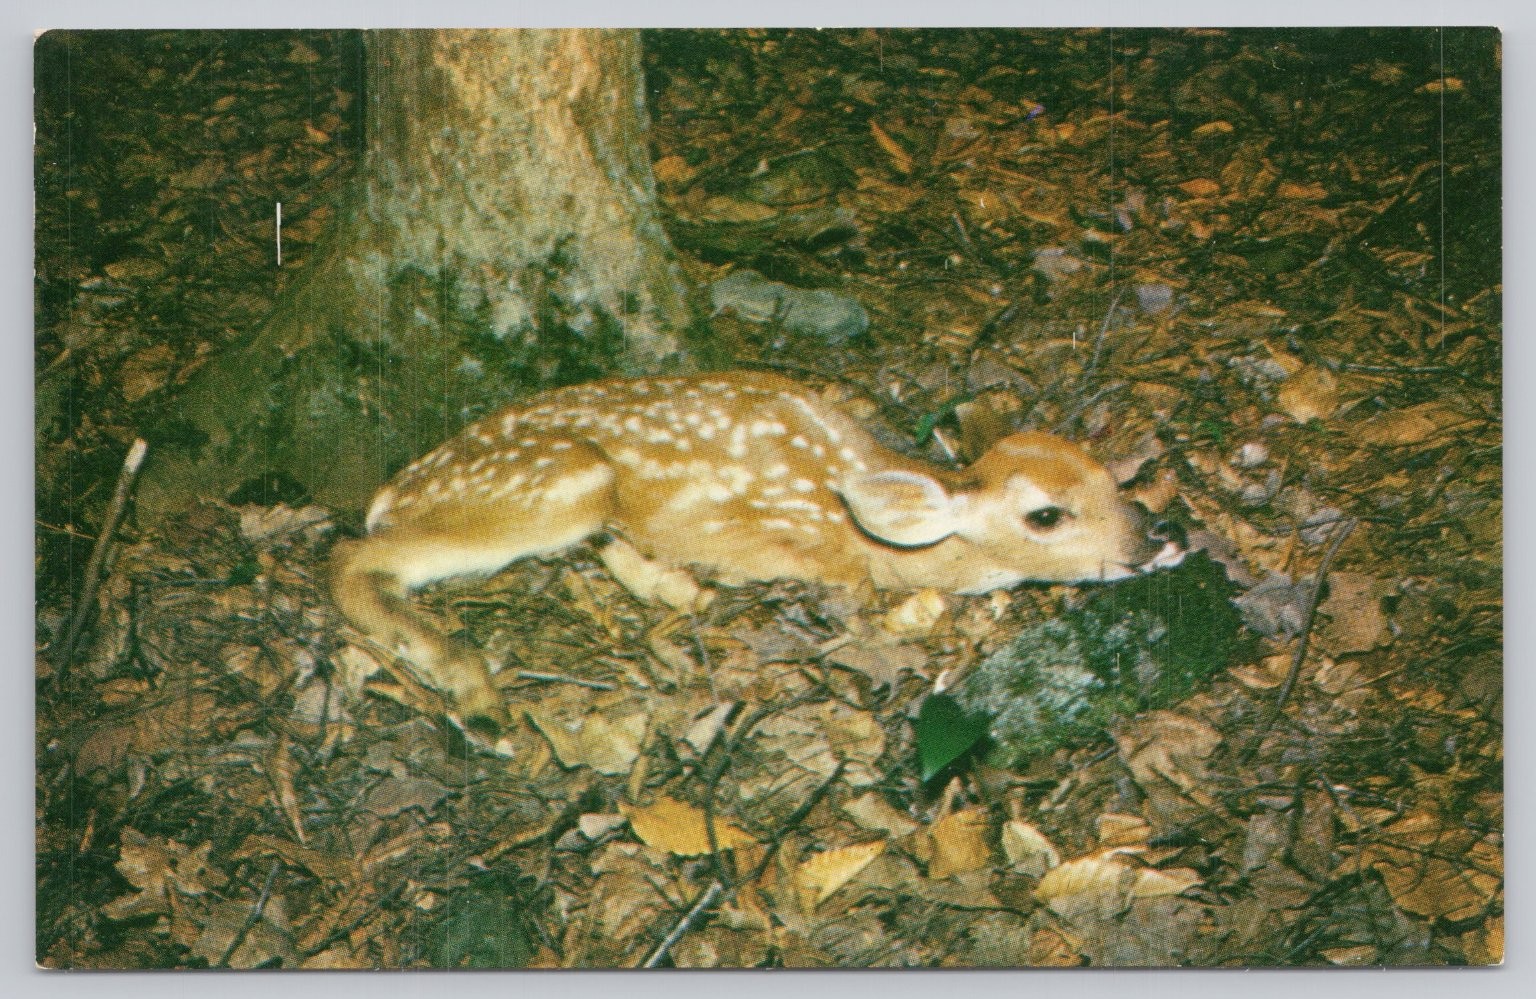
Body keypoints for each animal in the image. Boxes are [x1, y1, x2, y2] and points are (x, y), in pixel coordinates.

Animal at [330, 370, 1181, 728]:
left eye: (1108, 476)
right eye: (1046, 514)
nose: (1152, 538)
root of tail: (394, 486)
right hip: (559, 484)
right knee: (351, 558)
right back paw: (474, 691)